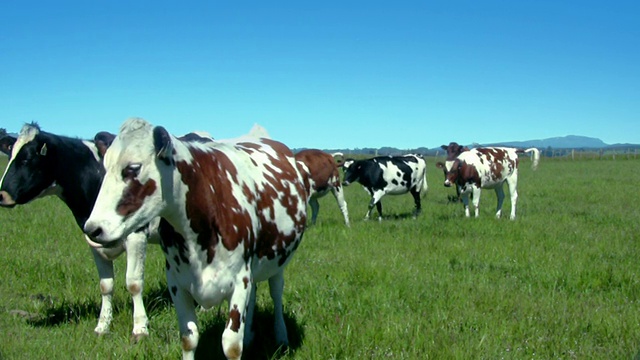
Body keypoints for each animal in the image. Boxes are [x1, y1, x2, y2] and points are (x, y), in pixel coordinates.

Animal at [0, 122, 159, 338]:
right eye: (9, 156)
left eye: (27, 159)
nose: (1, 195)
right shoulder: (93, 239)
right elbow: (106, 285)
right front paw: (102, 326)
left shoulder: (136, 235)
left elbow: (133, 283)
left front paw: (140, 328)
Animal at [82, 118, 308, 360]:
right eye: (104, 169)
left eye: (133, 168)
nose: (92, 228)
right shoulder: (176, 282)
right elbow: (188, 338)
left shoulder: (240, 279)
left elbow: (232, 345)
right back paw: (249, 336)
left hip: (278, 261)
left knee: (276, 292)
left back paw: (281, 336)